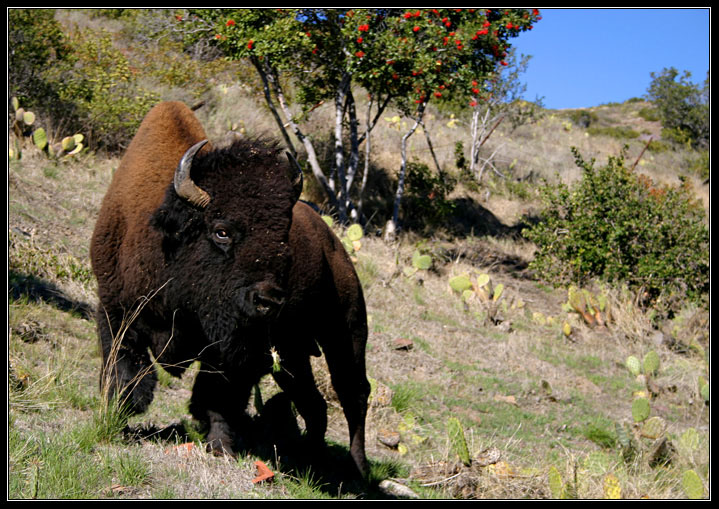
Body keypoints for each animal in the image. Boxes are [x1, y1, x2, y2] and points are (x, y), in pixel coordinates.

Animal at [90, 102, 372, 476]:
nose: (268, 300)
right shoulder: (115, 311)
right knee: (315, 404)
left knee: (353, 394)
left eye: (282, 236)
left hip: (346, 334)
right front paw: (119, 417)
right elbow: (125, 372)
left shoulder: (236, 349)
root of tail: (336, 247)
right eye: (221, 231)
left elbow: (218, 395)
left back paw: (357, 470)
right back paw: (309, 460)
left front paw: (220, 446)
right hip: (295, 352)